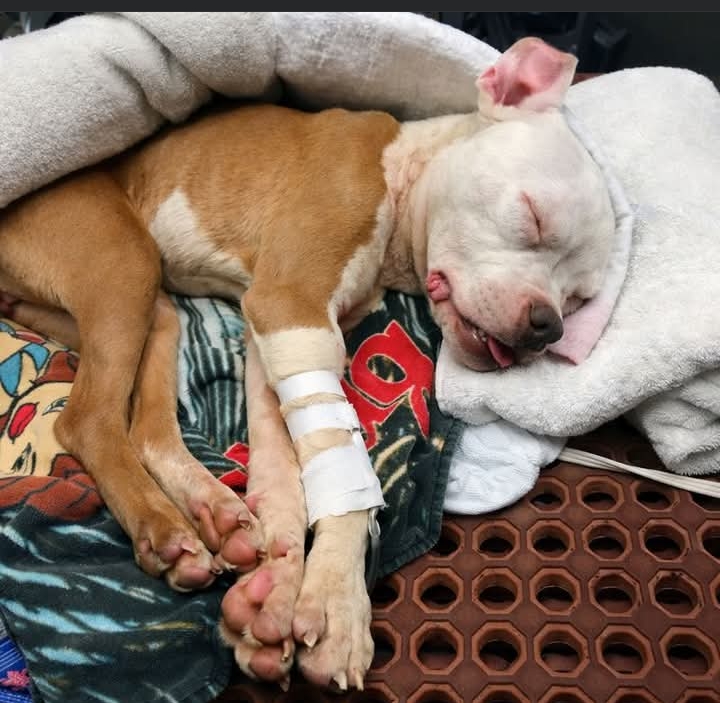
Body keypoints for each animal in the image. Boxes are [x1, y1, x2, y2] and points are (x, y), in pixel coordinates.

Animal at [0, 37, 615, 691]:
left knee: (144, 425)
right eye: (532, 216)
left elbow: (285, 468)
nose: (546, 326)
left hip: (152, 310)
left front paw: (276, 590)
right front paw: (338, 602)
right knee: (88, 420)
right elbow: (341, 463)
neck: (401, 174)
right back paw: (162, 528)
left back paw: (213, 510)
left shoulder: (270, 332)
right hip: (122, 261)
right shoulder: (290, 309)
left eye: (578, 297)